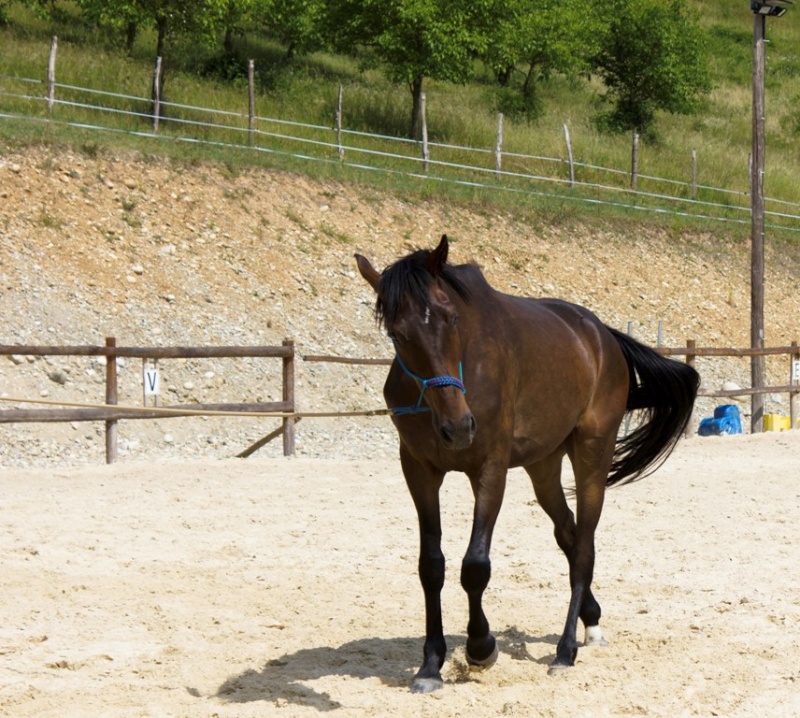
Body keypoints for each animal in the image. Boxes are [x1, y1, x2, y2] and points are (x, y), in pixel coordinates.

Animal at [356, 238, 700, 696]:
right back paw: (591, 620)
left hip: (592, 456)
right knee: (568, 534)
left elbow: (475, 566)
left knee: (584, 545)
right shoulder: (418, 470)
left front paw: (481, 648)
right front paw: (430, 665)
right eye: (397, 333)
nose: (458, 427)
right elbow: (431, 566)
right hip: (543, 467)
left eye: (451, 318)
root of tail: (600, 334)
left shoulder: (490, 469)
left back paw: (565, 651)